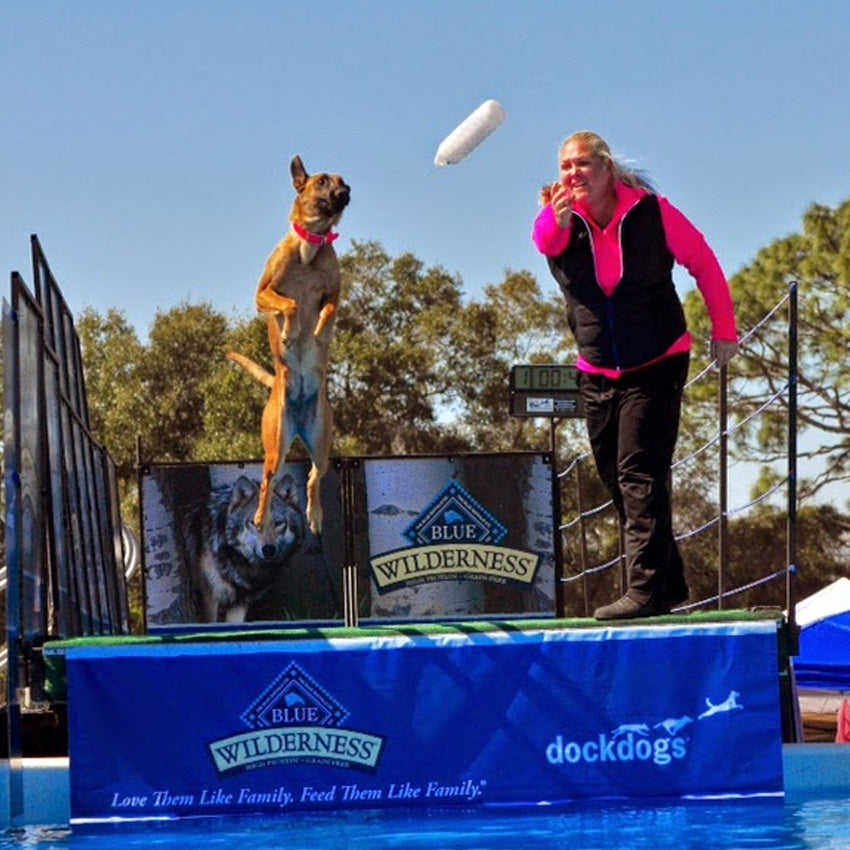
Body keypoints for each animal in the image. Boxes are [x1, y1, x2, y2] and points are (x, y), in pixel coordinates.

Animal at [227, 156, 350, 532]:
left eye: (344, 181)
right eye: (322, 181)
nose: (346, 192)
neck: (312, 243)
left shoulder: (334, 293)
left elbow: (327, 308)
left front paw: (320, 332)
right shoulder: (262, 294)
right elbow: (291, 304)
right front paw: (290, 333)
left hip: (321, 440)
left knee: (312, 476)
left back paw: (314, 514)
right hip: (276, 443)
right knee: (267, 481)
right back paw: (261, 516)